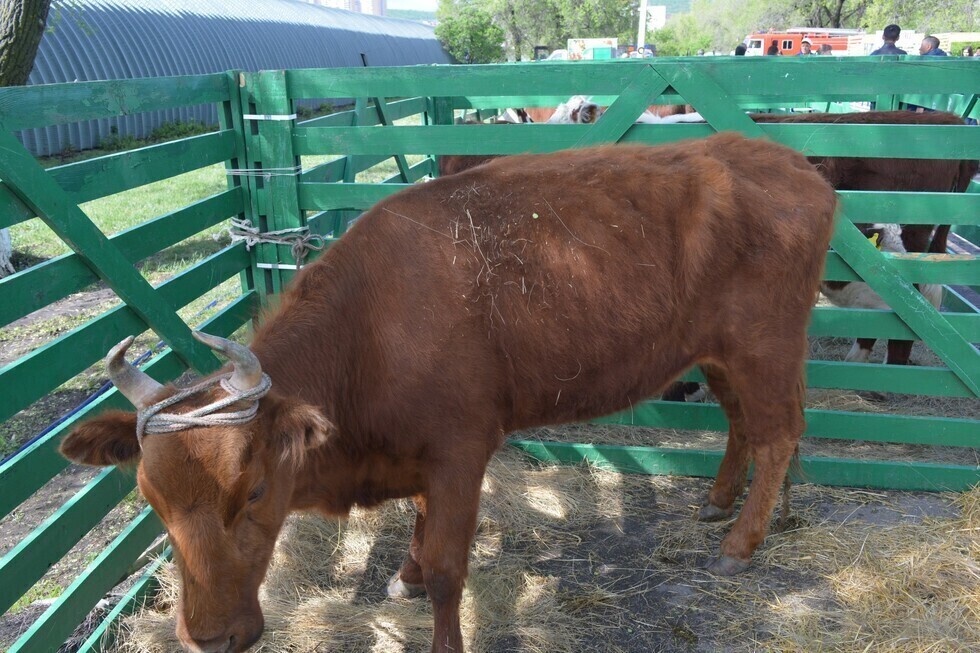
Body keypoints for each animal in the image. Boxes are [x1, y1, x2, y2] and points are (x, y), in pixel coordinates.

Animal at [59, 132, 836, 652]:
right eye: (151, 501)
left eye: (253, 491)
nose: (208, 638)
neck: (369, 329)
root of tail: (789, 161)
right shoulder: (424, 458)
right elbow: (420, 525)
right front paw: (400, 571)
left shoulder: (461, 450)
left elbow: (446, 568)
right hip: (719, 356)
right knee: (746, 424)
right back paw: (724, 503)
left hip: (763, 346)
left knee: (779, 431)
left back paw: (741, 540)